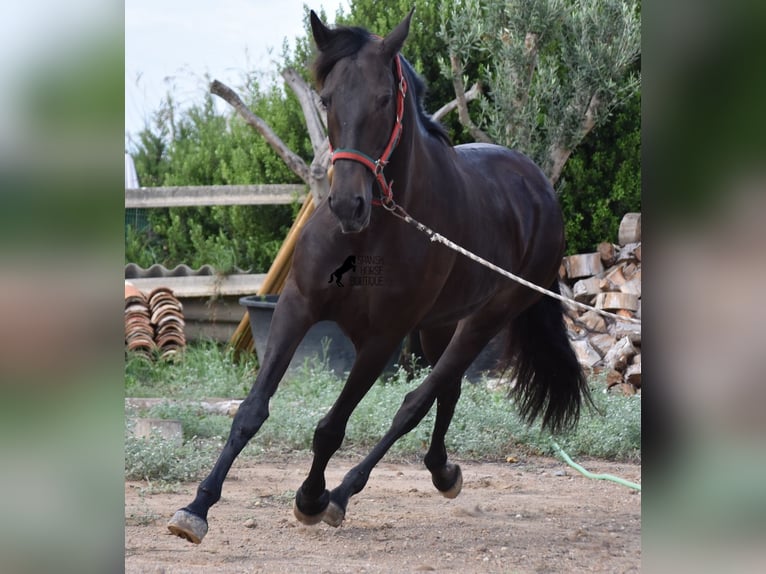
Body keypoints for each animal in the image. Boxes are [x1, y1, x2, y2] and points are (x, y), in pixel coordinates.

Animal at [168, 9, 592, 544]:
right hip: (439, 324)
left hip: (484, 321)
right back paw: (442, 472)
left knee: (416, 403)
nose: (348, 205)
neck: (370, 234)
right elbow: (251, 411)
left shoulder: (382, 339)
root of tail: (540, 188)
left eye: (384, 99)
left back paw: (344, 494)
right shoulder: (297, 306)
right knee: (447, 392)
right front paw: (196, 507)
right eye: (326, 99)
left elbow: (333, 425)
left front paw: (311, 498)